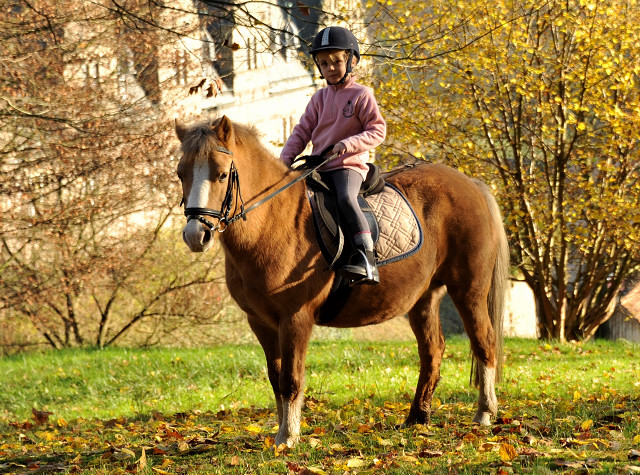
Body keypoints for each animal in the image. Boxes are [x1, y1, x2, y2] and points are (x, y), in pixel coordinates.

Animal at [174, 116, 510, 450]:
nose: (195, 235)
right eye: (181, 173)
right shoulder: (260, 322)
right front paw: (280, 432)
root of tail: (471, 184)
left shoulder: (295, 318)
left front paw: (289, 436)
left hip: (469, 290)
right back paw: (418, 417)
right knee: (432, 352)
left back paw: (484, 413)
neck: (273, 222)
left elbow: (291, 380)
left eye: (221, 174)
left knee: (484, 343)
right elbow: (275, 378)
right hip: (423, 298)